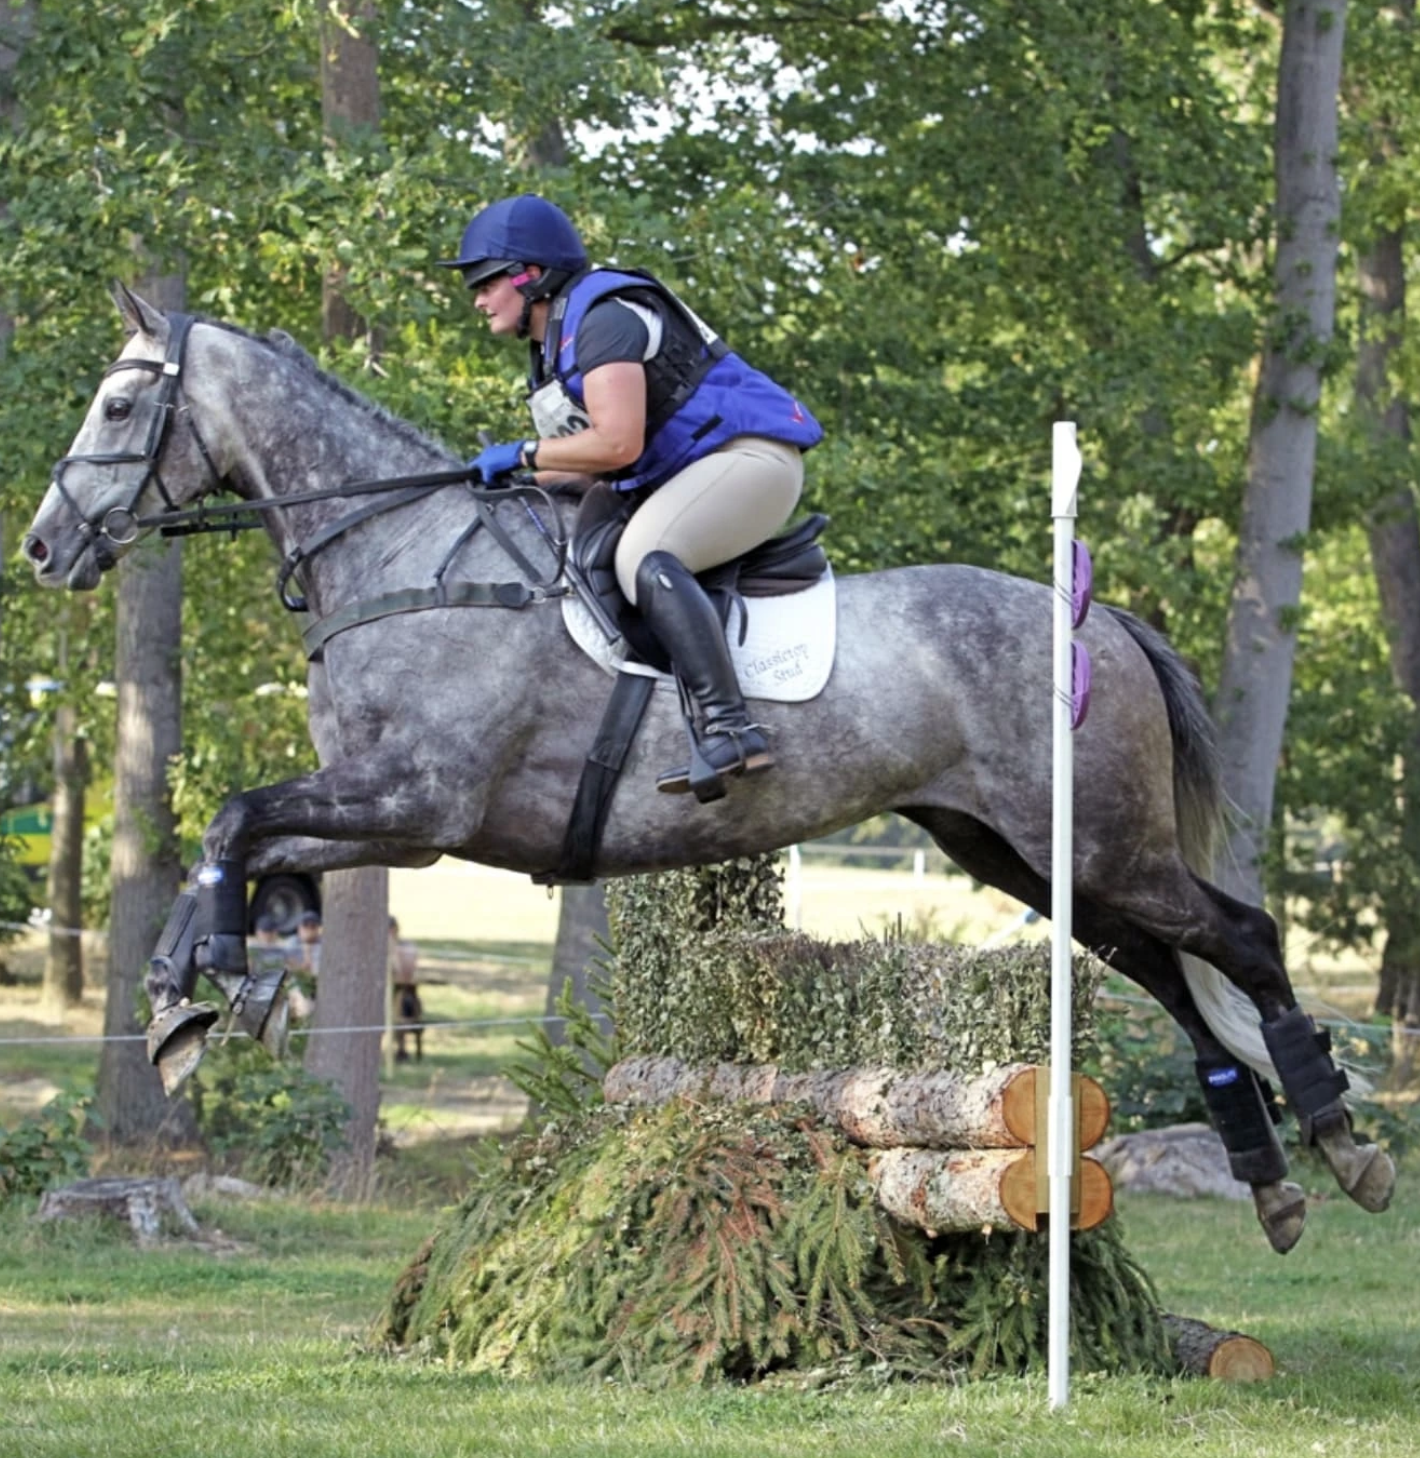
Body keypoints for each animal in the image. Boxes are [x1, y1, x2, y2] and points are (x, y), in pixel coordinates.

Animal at [23, 285, 1394, 1253]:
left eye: (116, 409)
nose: (44, 547)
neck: (404, 550)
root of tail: (1096, 619)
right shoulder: (394, 817)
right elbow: (242, 840)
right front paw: (194, 994)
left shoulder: (419, 801)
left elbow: (236, 818)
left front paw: (208, 985)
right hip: (1022, 854)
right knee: (1169, 973)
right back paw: (1273, 1187)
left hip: (1098, 843)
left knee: (1240, 938)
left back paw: (1341, 1141)